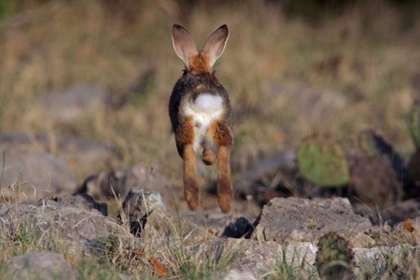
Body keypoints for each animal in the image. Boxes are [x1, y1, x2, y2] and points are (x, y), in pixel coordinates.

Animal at [168, 24, 233, 213]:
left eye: (184, 71)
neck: (200, 71)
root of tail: (205, 99)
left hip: (185, 128)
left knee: (188, 152)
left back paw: (193, 201)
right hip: (222, 126)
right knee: (224, 151)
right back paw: (225, 204)